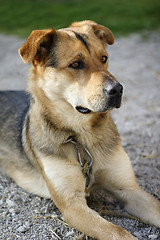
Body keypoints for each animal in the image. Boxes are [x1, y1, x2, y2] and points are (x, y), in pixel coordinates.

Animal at [0, 21, 160, 240]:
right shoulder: (72, 204)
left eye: (104, 58)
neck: (81, 136)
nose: (118, 90)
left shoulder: (129, 189)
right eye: (75, 64)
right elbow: (117, 232)